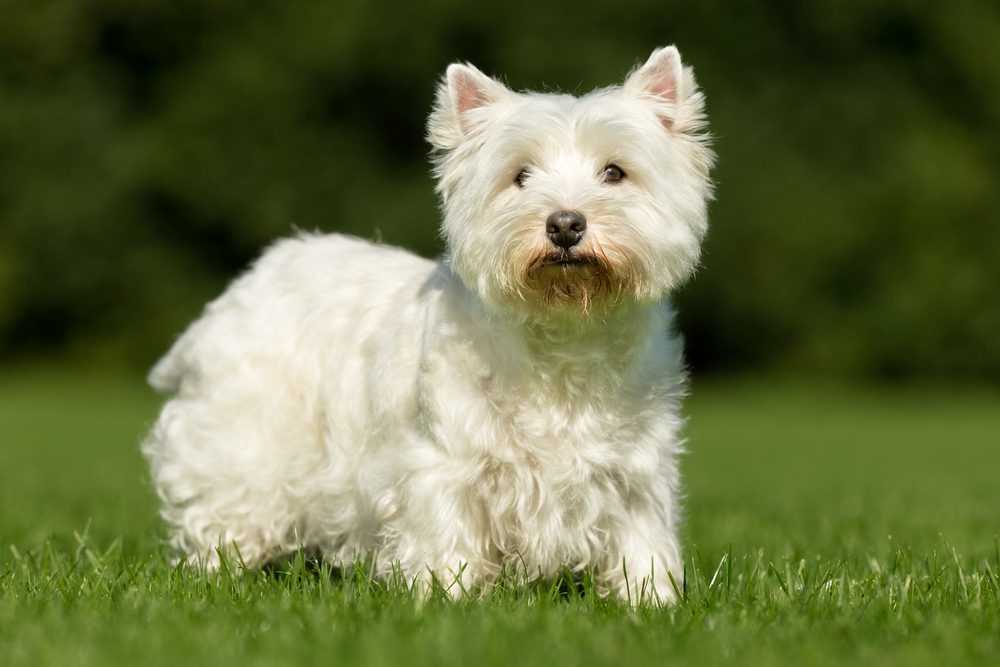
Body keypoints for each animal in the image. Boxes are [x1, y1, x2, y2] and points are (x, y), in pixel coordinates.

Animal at [145, 44, 716, 604]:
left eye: (615, 172)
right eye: (521, 176)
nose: (564, 224)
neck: (563, 332)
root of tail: (250, 280)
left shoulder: (635, 471)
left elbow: (640, 542)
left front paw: (650, 601)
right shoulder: (446, 463)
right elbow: (448, 536)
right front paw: (446, 596)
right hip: (246, 439)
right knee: (225, 511)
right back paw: (215, 574)